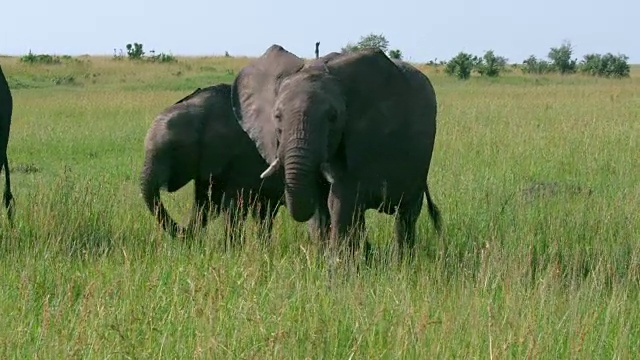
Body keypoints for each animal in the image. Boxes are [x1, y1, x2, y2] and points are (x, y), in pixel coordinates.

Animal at [144, 84, 286, 242]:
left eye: (175, 148)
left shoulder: (243, 157)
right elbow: (206, 205)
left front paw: (232, 247)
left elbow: (234, 207)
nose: (183, 230)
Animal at [232, 45, 442, 256]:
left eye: (333, 117)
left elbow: (340, 200)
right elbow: (320, 202)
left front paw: (340, 263)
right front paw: (324, 258)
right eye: (277, 116)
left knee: (406, 214)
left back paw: (401, 259)